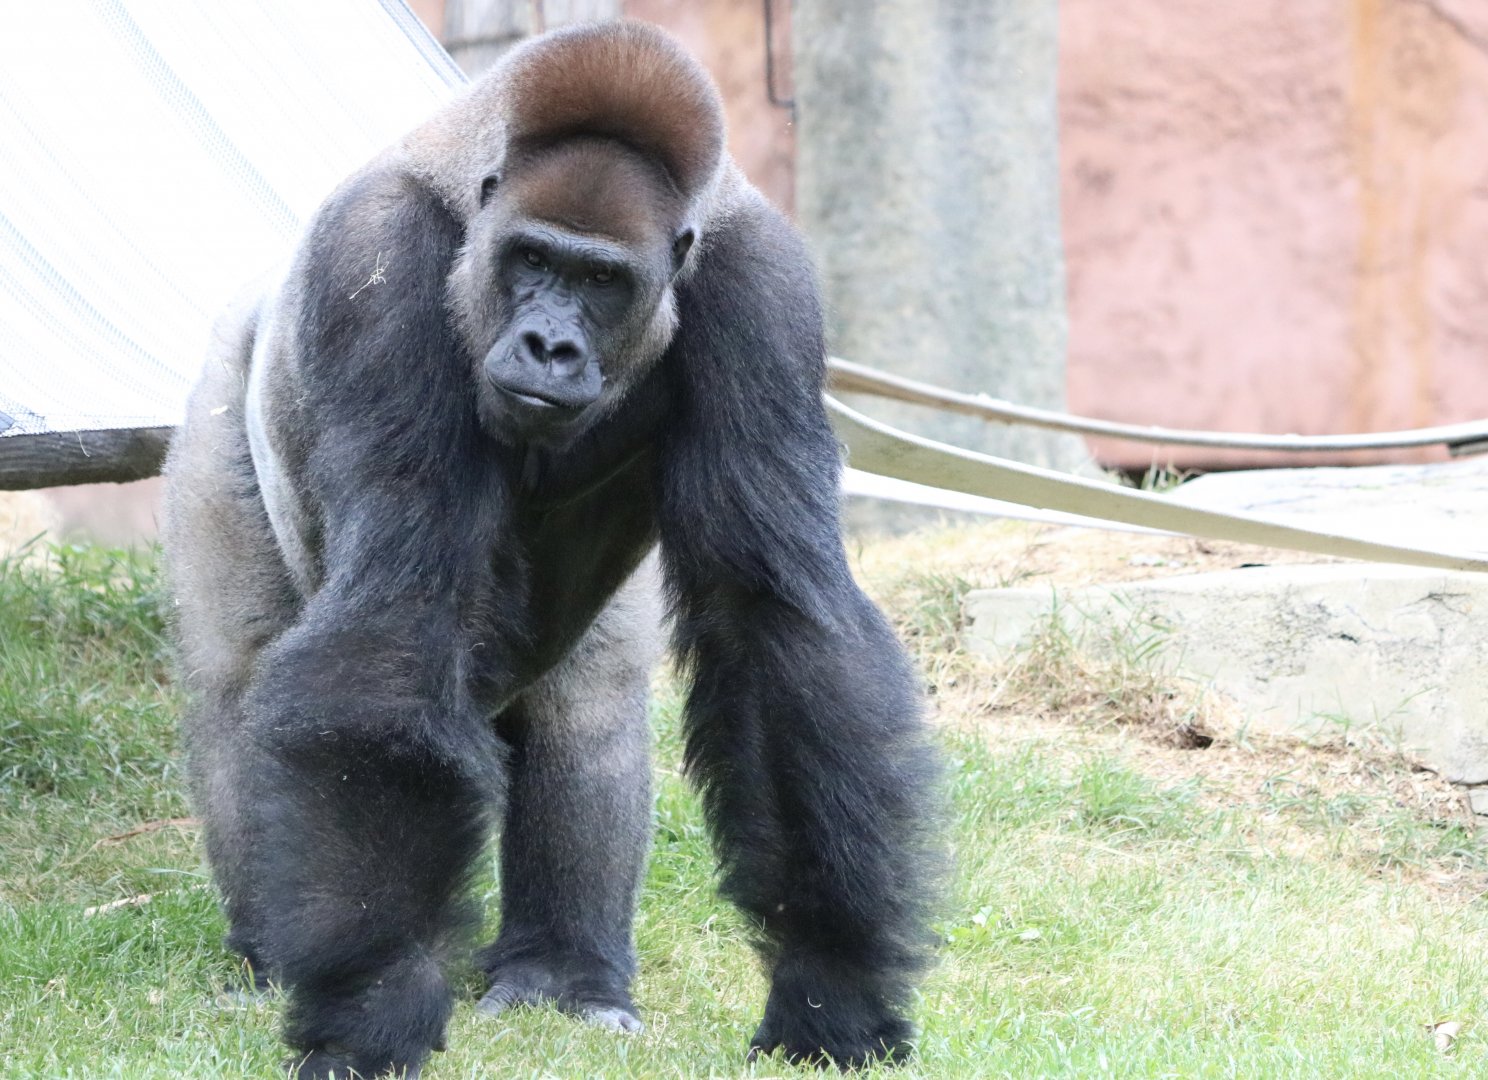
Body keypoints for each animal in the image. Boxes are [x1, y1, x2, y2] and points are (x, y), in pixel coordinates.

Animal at [161, 21, 938, 1078]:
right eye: (532, 259)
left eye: (603, 280)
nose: (549, 347)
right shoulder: (377, 258)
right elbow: (394, 615)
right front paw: (373, 1008)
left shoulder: (763, 287)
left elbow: (774, 621)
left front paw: (832, 986)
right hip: (222, 387)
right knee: (240, 672)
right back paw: (268, 954)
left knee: (588, 698)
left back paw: (564, 976)